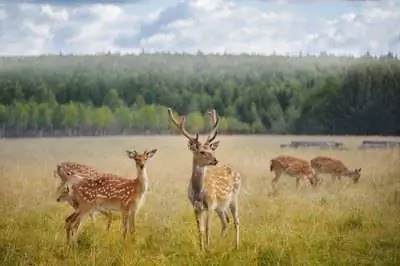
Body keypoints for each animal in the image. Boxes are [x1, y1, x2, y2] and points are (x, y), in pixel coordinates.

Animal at [166, 107, 241, 250]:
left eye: (211, 150)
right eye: (202, 151)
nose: (215, 160)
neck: (199, 192)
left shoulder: (210, 204)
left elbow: (207, 228)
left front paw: (207, 248)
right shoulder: (195, 206)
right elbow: (199, 229)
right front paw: (202, 249)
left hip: (234, 197)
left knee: (236, 220)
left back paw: (237, 246)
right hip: (220, 207)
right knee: (225, 221)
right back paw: (220, 242)